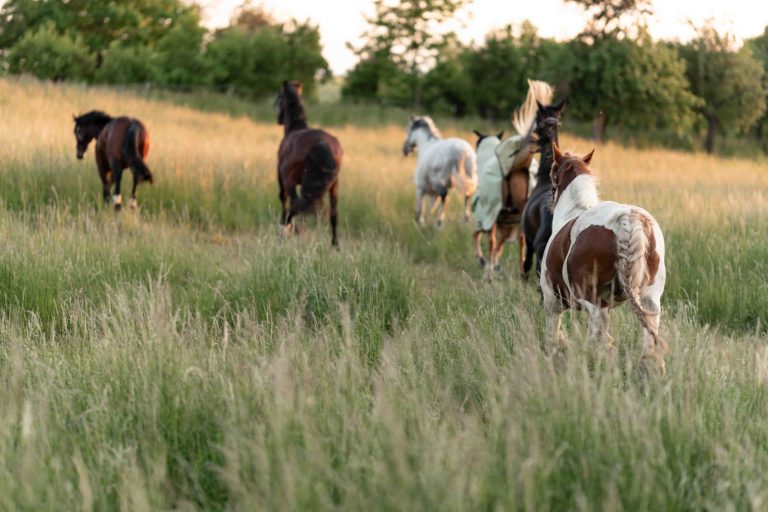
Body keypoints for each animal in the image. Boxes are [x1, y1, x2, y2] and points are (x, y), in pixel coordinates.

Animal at [275, 80, 343, 246]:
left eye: (279, 97)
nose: (278, 118)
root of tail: (321, 142)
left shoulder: (282, 180)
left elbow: (284, 202)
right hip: (334, 186)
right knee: (333, 215)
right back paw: (335, 245)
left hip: (290, 181)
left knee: (294, 204)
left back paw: (288, 232)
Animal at [471, 80, 552, 276]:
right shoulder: (507, 220)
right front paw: (493, 263)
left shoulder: (489, 216)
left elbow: (479, 236)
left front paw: (484, 261)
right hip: (518, 216)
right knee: (521, 242)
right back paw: (518, 269)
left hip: (494, 214)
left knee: (492, 240)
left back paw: (489, 269)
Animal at [540, 145, 668, 374]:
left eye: (552, 172)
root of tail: (628, 219)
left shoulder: (551, 301)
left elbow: (553, 335)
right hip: (650, 299)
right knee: (650, 340)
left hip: (591, 300)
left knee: (601, 339)